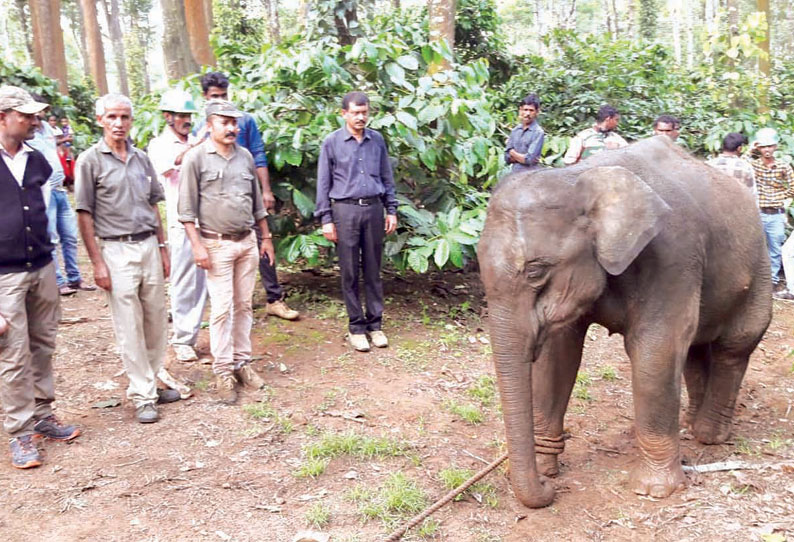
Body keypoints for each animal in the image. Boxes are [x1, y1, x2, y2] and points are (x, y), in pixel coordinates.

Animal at [476, 136, 768, 510]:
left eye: (536, 271)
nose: (546, 487)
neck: (580, 177)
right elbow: (559, 354)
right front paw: (548, 468)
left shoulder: (674, 255)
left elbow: (656, 349)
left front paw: (654, 490)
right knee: (695, 348)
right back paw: (689, 424)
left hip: (759, 267)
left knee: (735, 346)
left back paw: (708, 435)